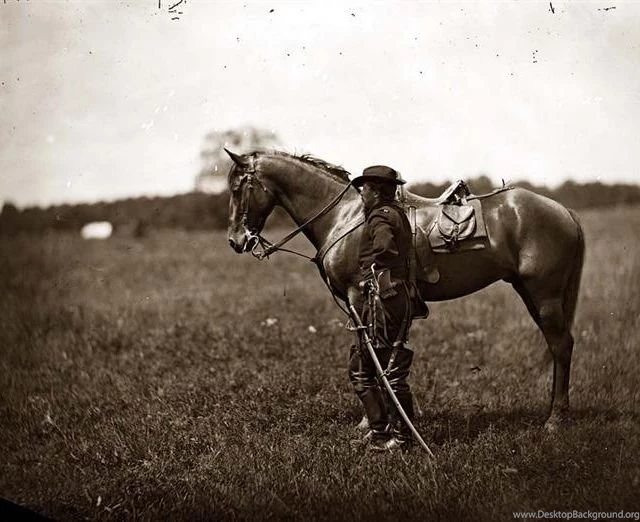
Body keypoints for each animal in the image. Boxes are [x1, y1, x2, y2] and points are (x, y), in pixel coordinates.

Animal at [225, 149, 585, 431]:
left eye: (238, 187)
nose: (236, 240)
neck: (346, 218)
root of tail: (565, 212)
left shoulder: (359, 296)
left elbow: (370, 356)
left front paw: (373, 422)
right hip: (529, 292)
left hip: (545, 295)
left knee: (561, 345)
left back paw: (555, 420)